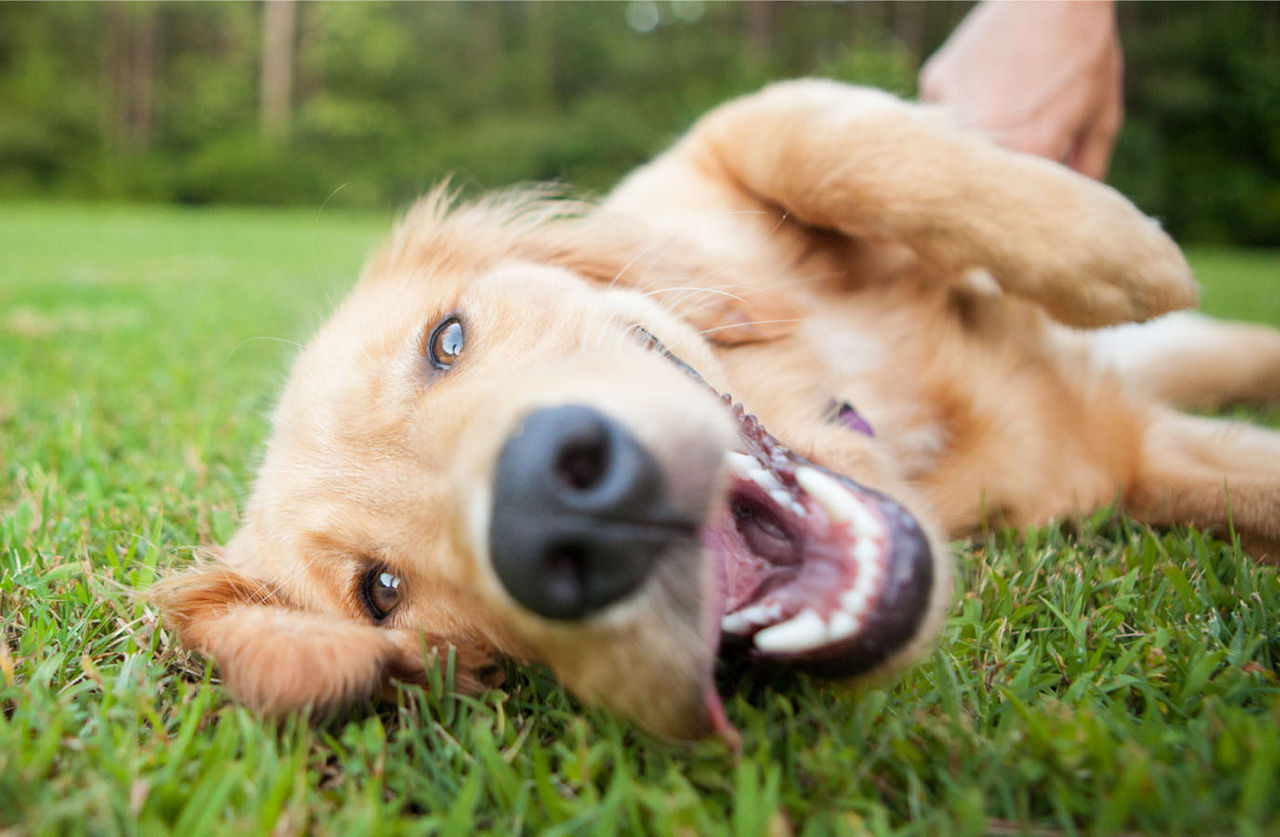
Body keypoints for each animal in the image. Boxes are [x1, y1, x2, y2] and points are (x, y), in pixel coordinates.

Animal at [157, 80, 1280, 742]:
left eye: (447, 341)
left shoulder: (711, 153)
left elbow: (824, 135)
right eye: (381, 593)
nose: (555, 507)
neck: (870, 411)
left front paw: (1113, 249)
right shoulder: (1124, 458)